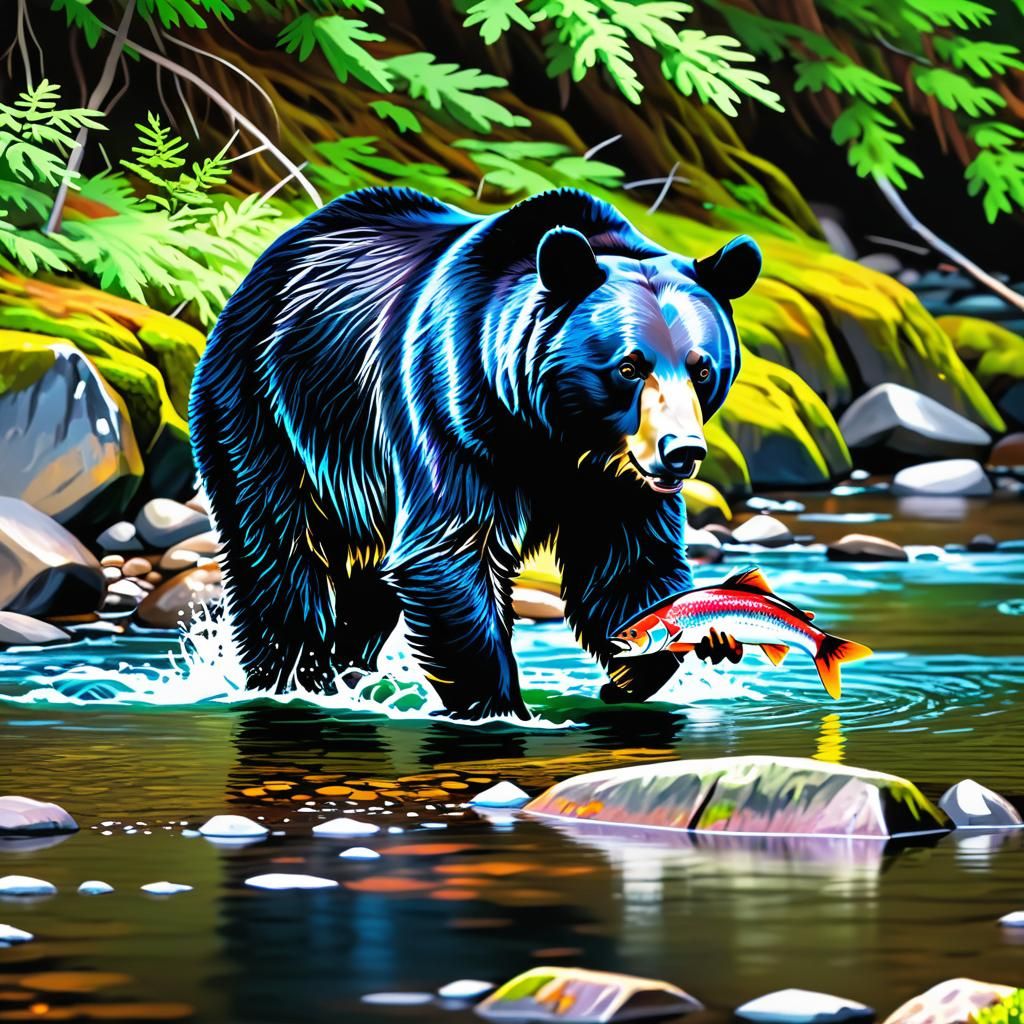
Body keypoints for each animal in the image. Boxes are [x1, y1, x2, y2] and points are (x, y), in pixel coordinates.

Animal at [189, 187, 761, 719]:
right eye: (628, 367)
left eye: (702, 368)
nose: (682, 452)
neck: (556, 433)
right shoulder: (453, 416)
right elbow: (448, 554)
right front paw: (499, 706)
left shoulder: (615, 483)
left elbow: (629, 565)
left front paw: (630, 672)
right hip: (265, 411)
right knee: (277, 556)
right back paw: (292, 677)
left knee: (364, 591)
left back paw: (349, 674)